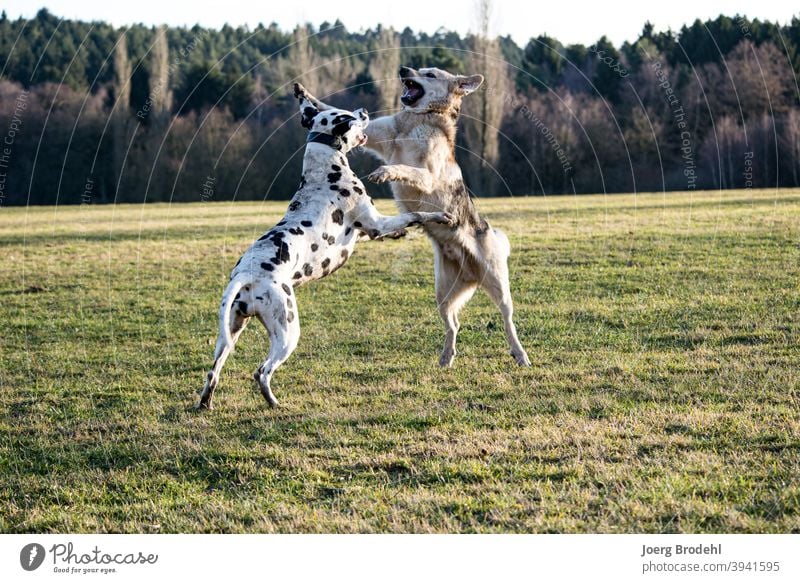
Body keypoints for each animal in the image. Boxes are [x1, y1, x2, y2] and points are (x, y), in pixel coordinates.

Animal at [197, 83, 454, 410]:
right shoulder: (376, 223)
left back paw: (206, 402)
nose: (364, 110)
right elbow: (415, 214)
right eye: (348, 116)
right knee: (261, 372)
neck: (324, 170)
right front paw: (442, 216)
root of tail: (246, 276)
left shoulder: (366, 231)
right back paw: (274, 403)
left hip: (229, 333)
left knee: (213, 371)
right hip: (287, 331)